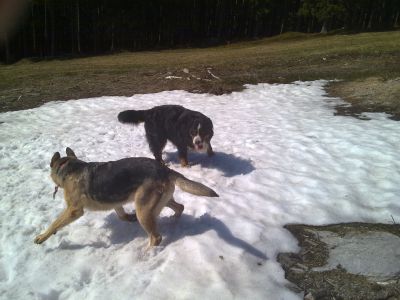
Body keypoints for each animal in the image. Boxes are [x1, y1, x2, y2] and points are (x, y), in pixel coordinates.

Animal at [33, 149, 219, 247]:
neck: (69, 167)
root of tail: (165, 169)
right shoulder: (116, 202)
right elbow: (122, 215)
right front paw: (129, 219)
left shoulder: (74, 210)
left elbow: (55, 223)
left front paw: (42, 237)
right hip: (161, 201)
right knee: (179, 207)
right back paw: (173, 221)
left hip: (143, 209)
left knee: (156, 237)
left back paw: (147, 256)